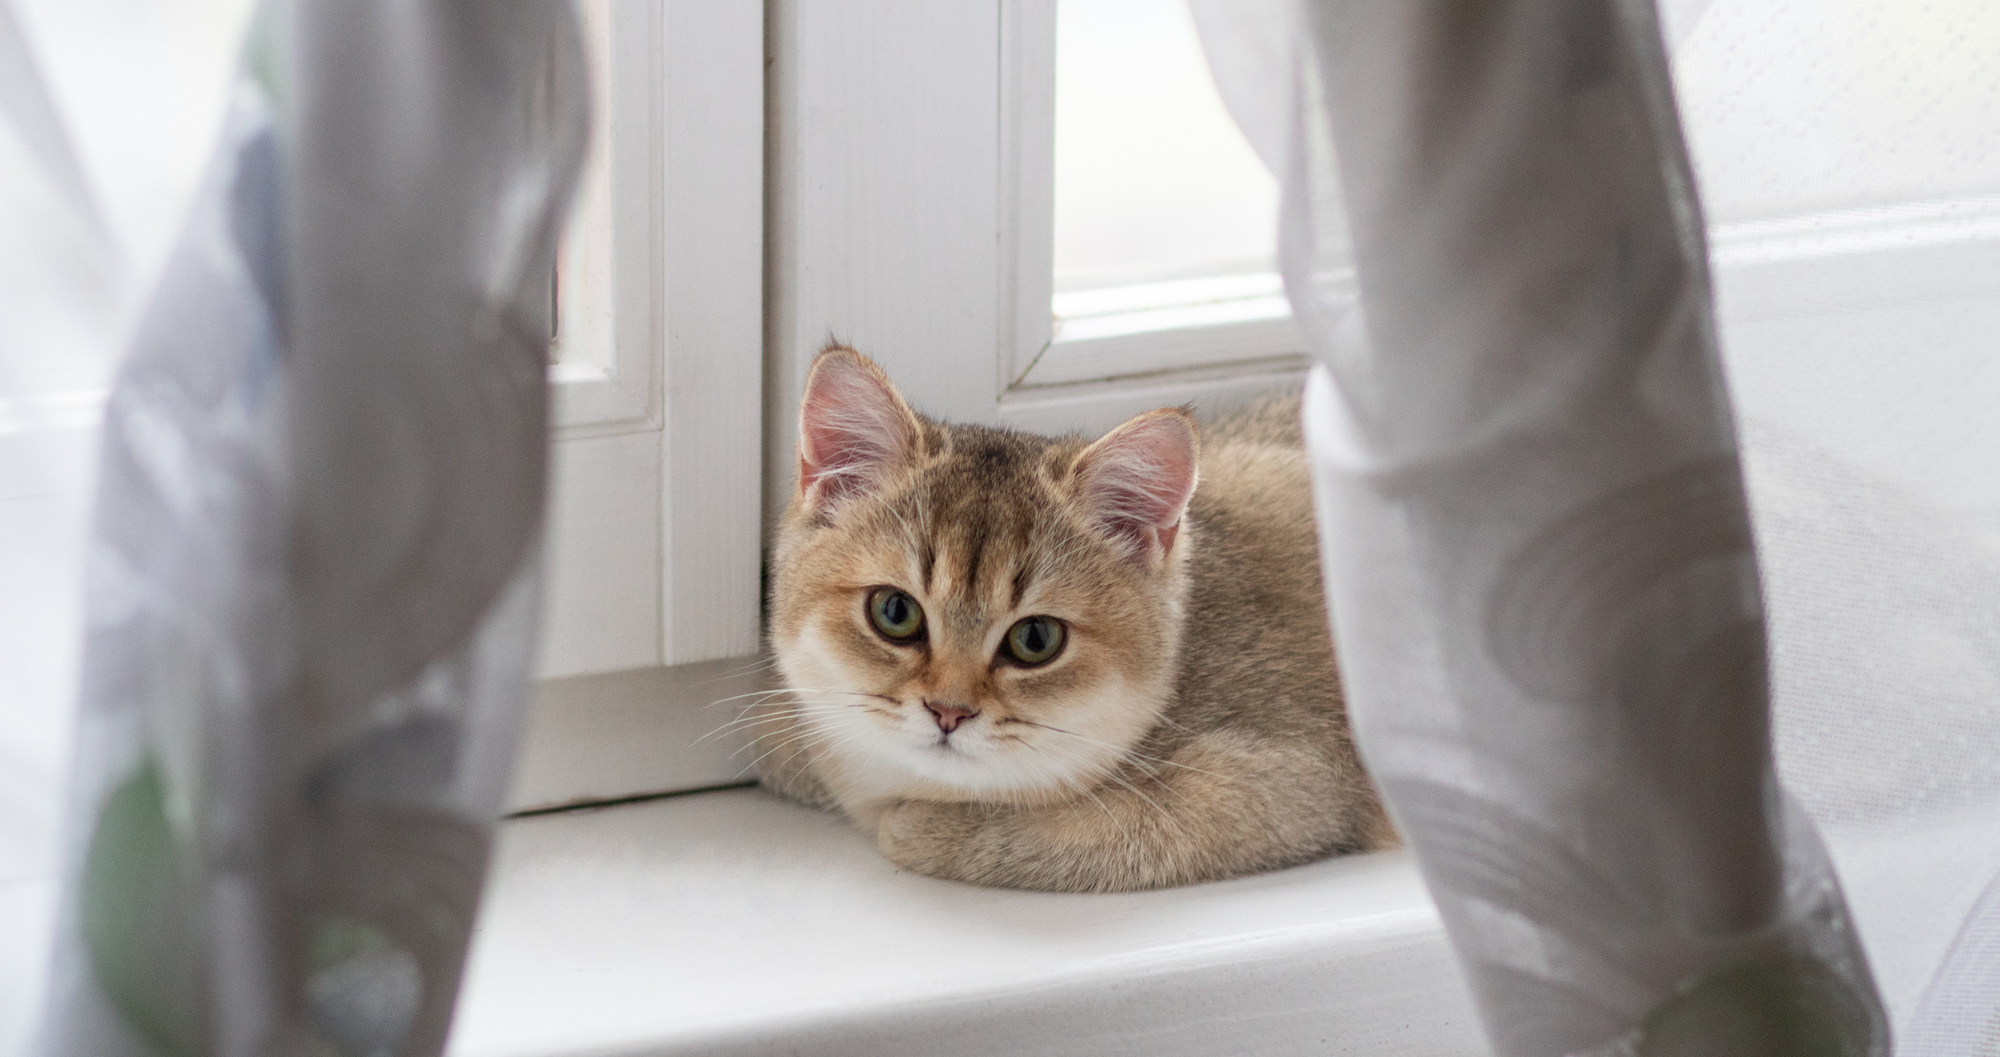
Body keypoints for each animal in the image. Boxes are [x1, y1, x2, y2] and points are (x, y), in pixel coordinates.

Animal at [752, 346, 1392, 892]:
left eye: (1036, 639)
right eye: (894, 611)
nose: (949, 712)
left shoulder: (1289, 785)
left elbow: (1091, 839)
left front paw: (927, 828)